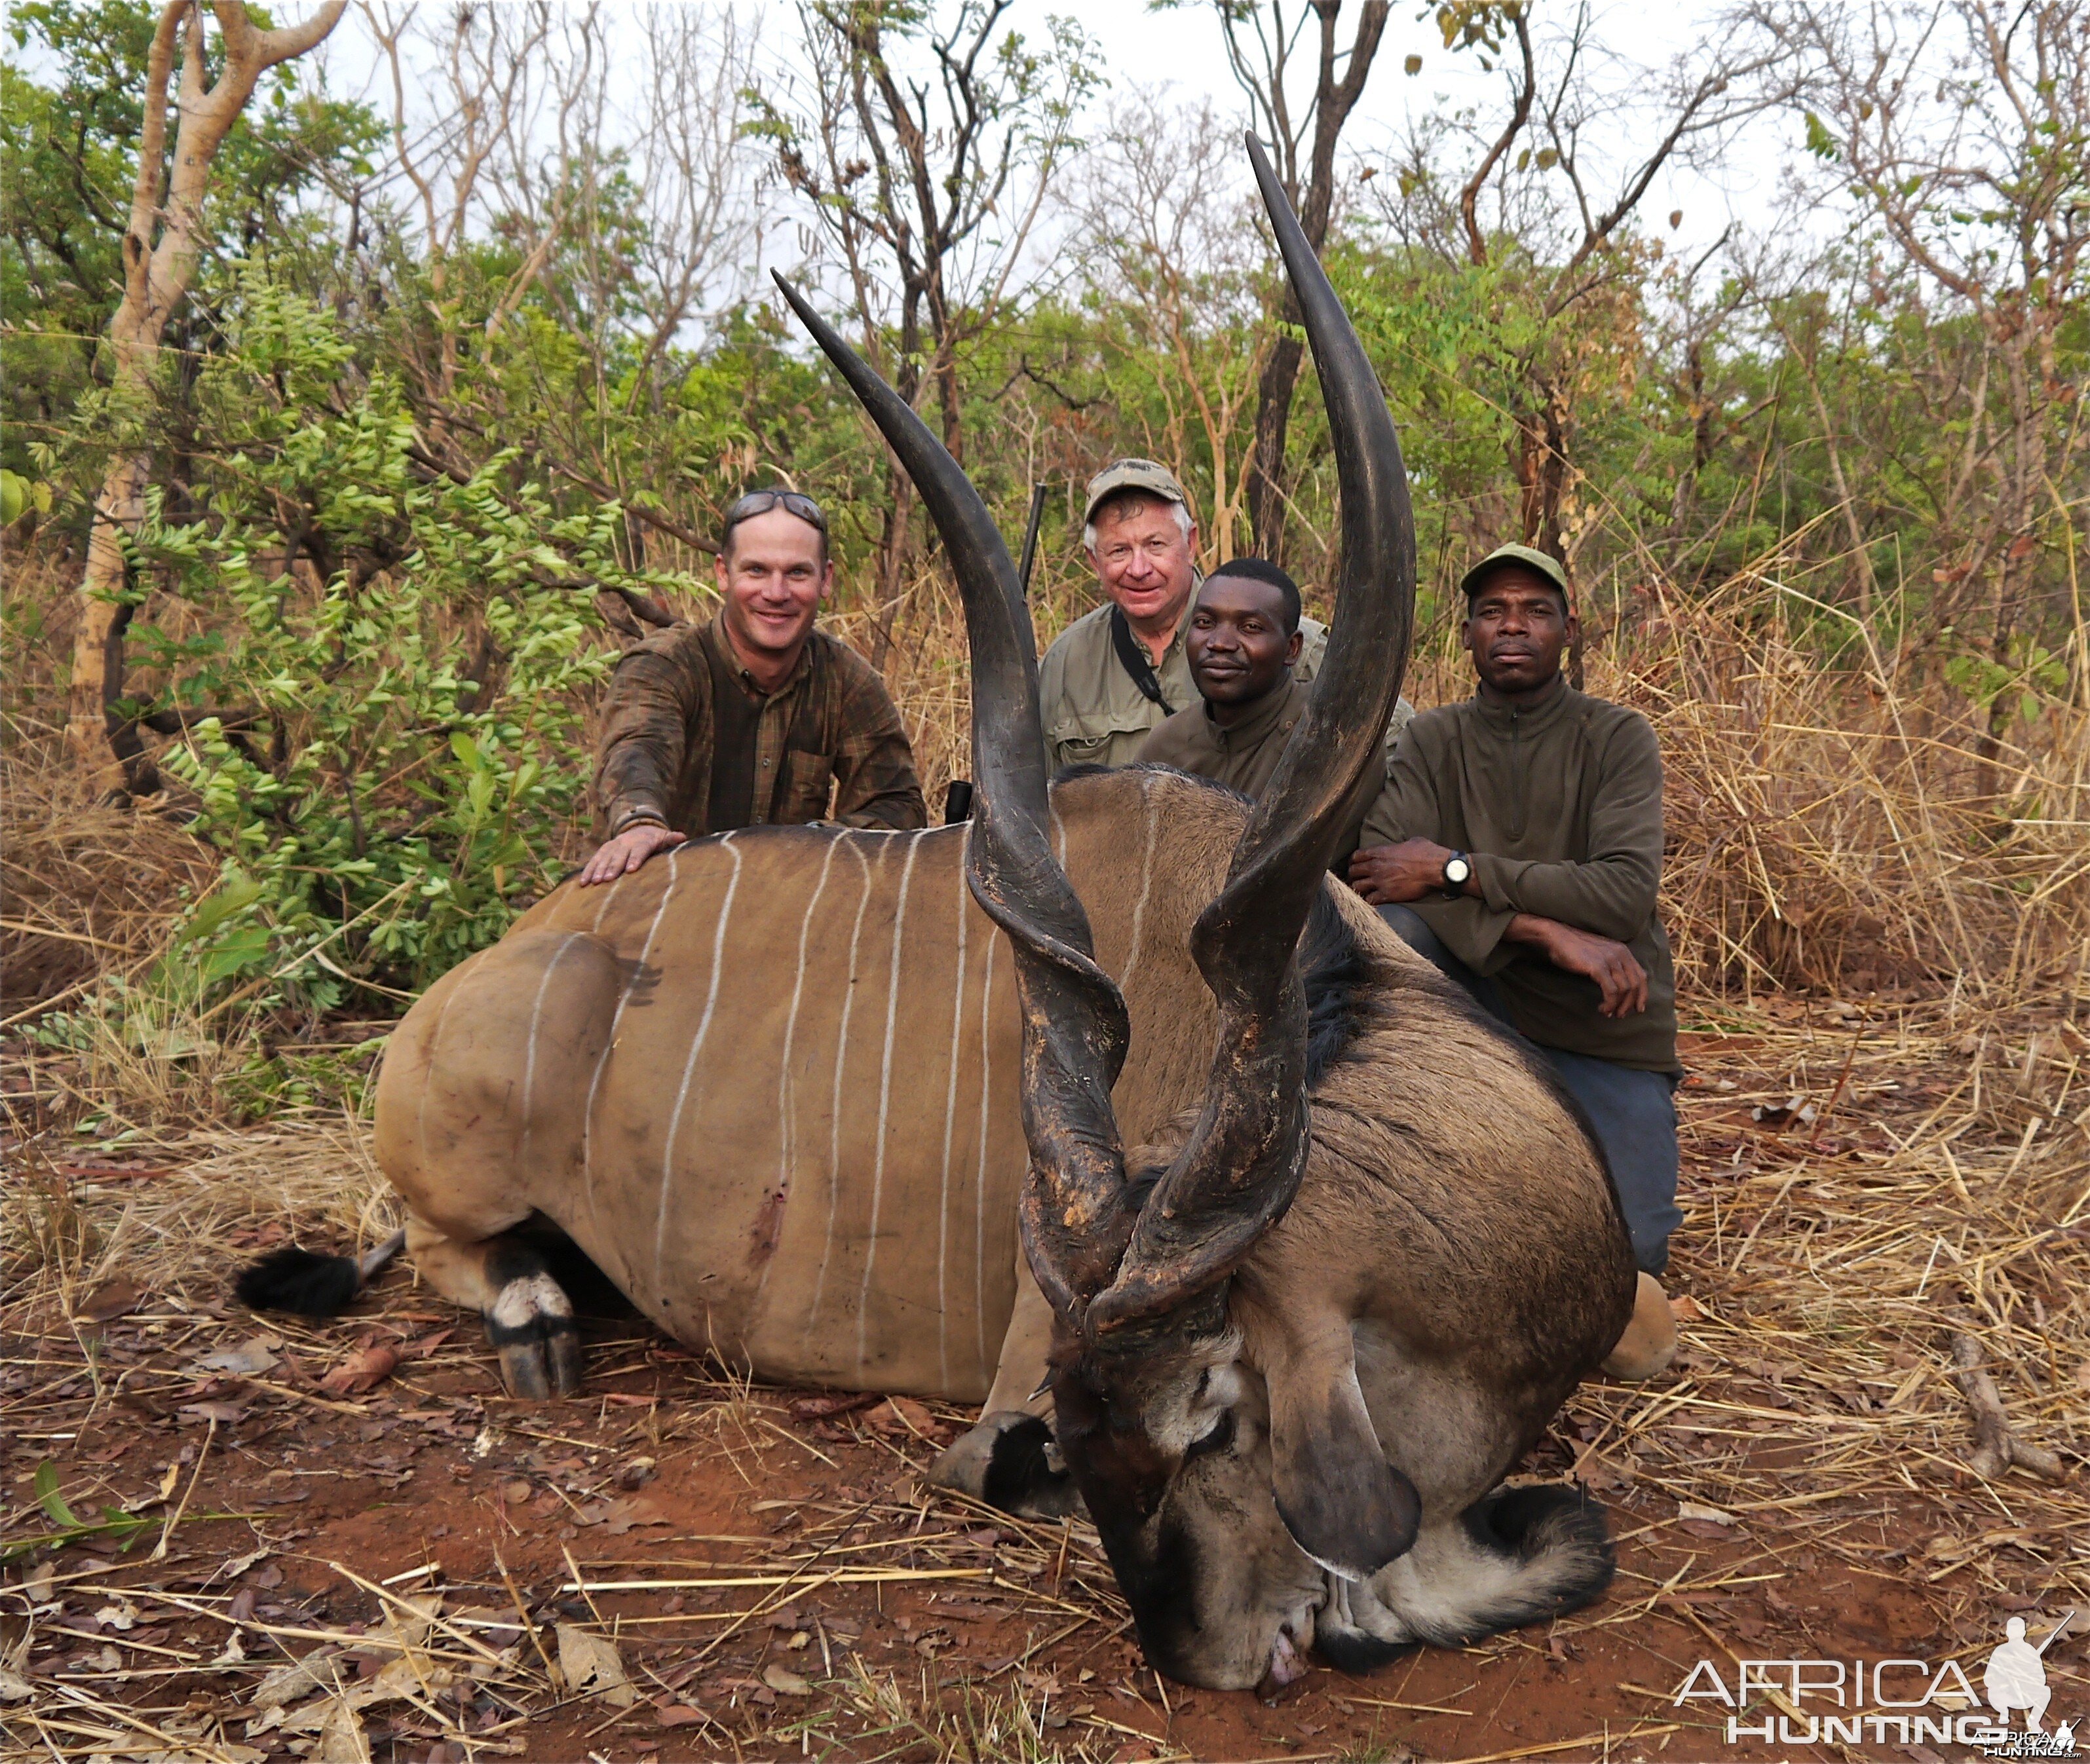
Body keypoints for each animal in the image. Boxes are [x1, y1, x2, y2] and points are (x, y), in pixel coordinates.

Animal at [244, 148, 1638, 1697]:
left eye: (1215, 1413)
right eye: (1105, 1435)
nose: (1208, 1649)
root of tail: (478, 975)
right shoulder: (1023, 1383)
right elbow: (1008, 1463)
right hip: (461, 1157)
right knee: (443, 1246)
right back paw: (537, 1310)